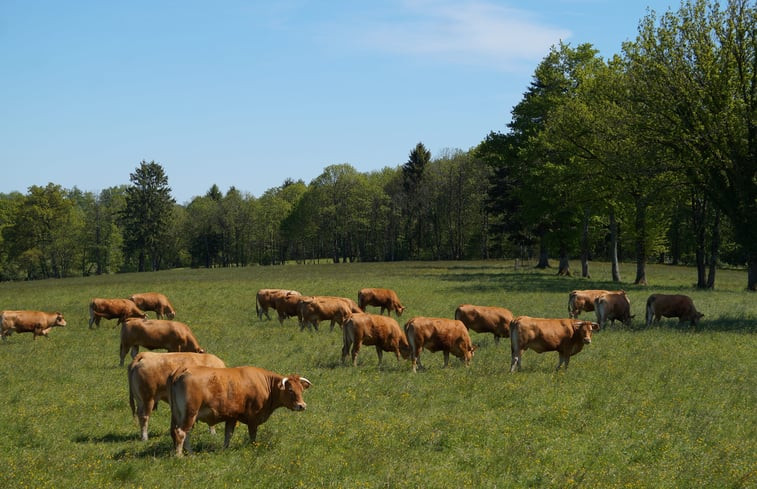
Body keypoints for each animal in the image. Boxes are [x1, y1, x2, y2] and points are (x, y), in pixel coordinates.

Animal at [168, 364, 310, 456]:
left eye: (301, 390)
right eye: (290, 390)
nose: (302, 405)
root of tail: (183, 369)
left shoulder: (232, 417)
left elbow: (228, 434)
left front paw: (225, 450)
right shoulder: (253, 418)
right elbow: (252, 436)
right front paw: (253, 448)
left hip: (178, 415)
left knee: (180, 433)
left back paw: (190, 453)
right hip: (190, 413)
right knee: (181, 433)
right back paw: (180, 456)